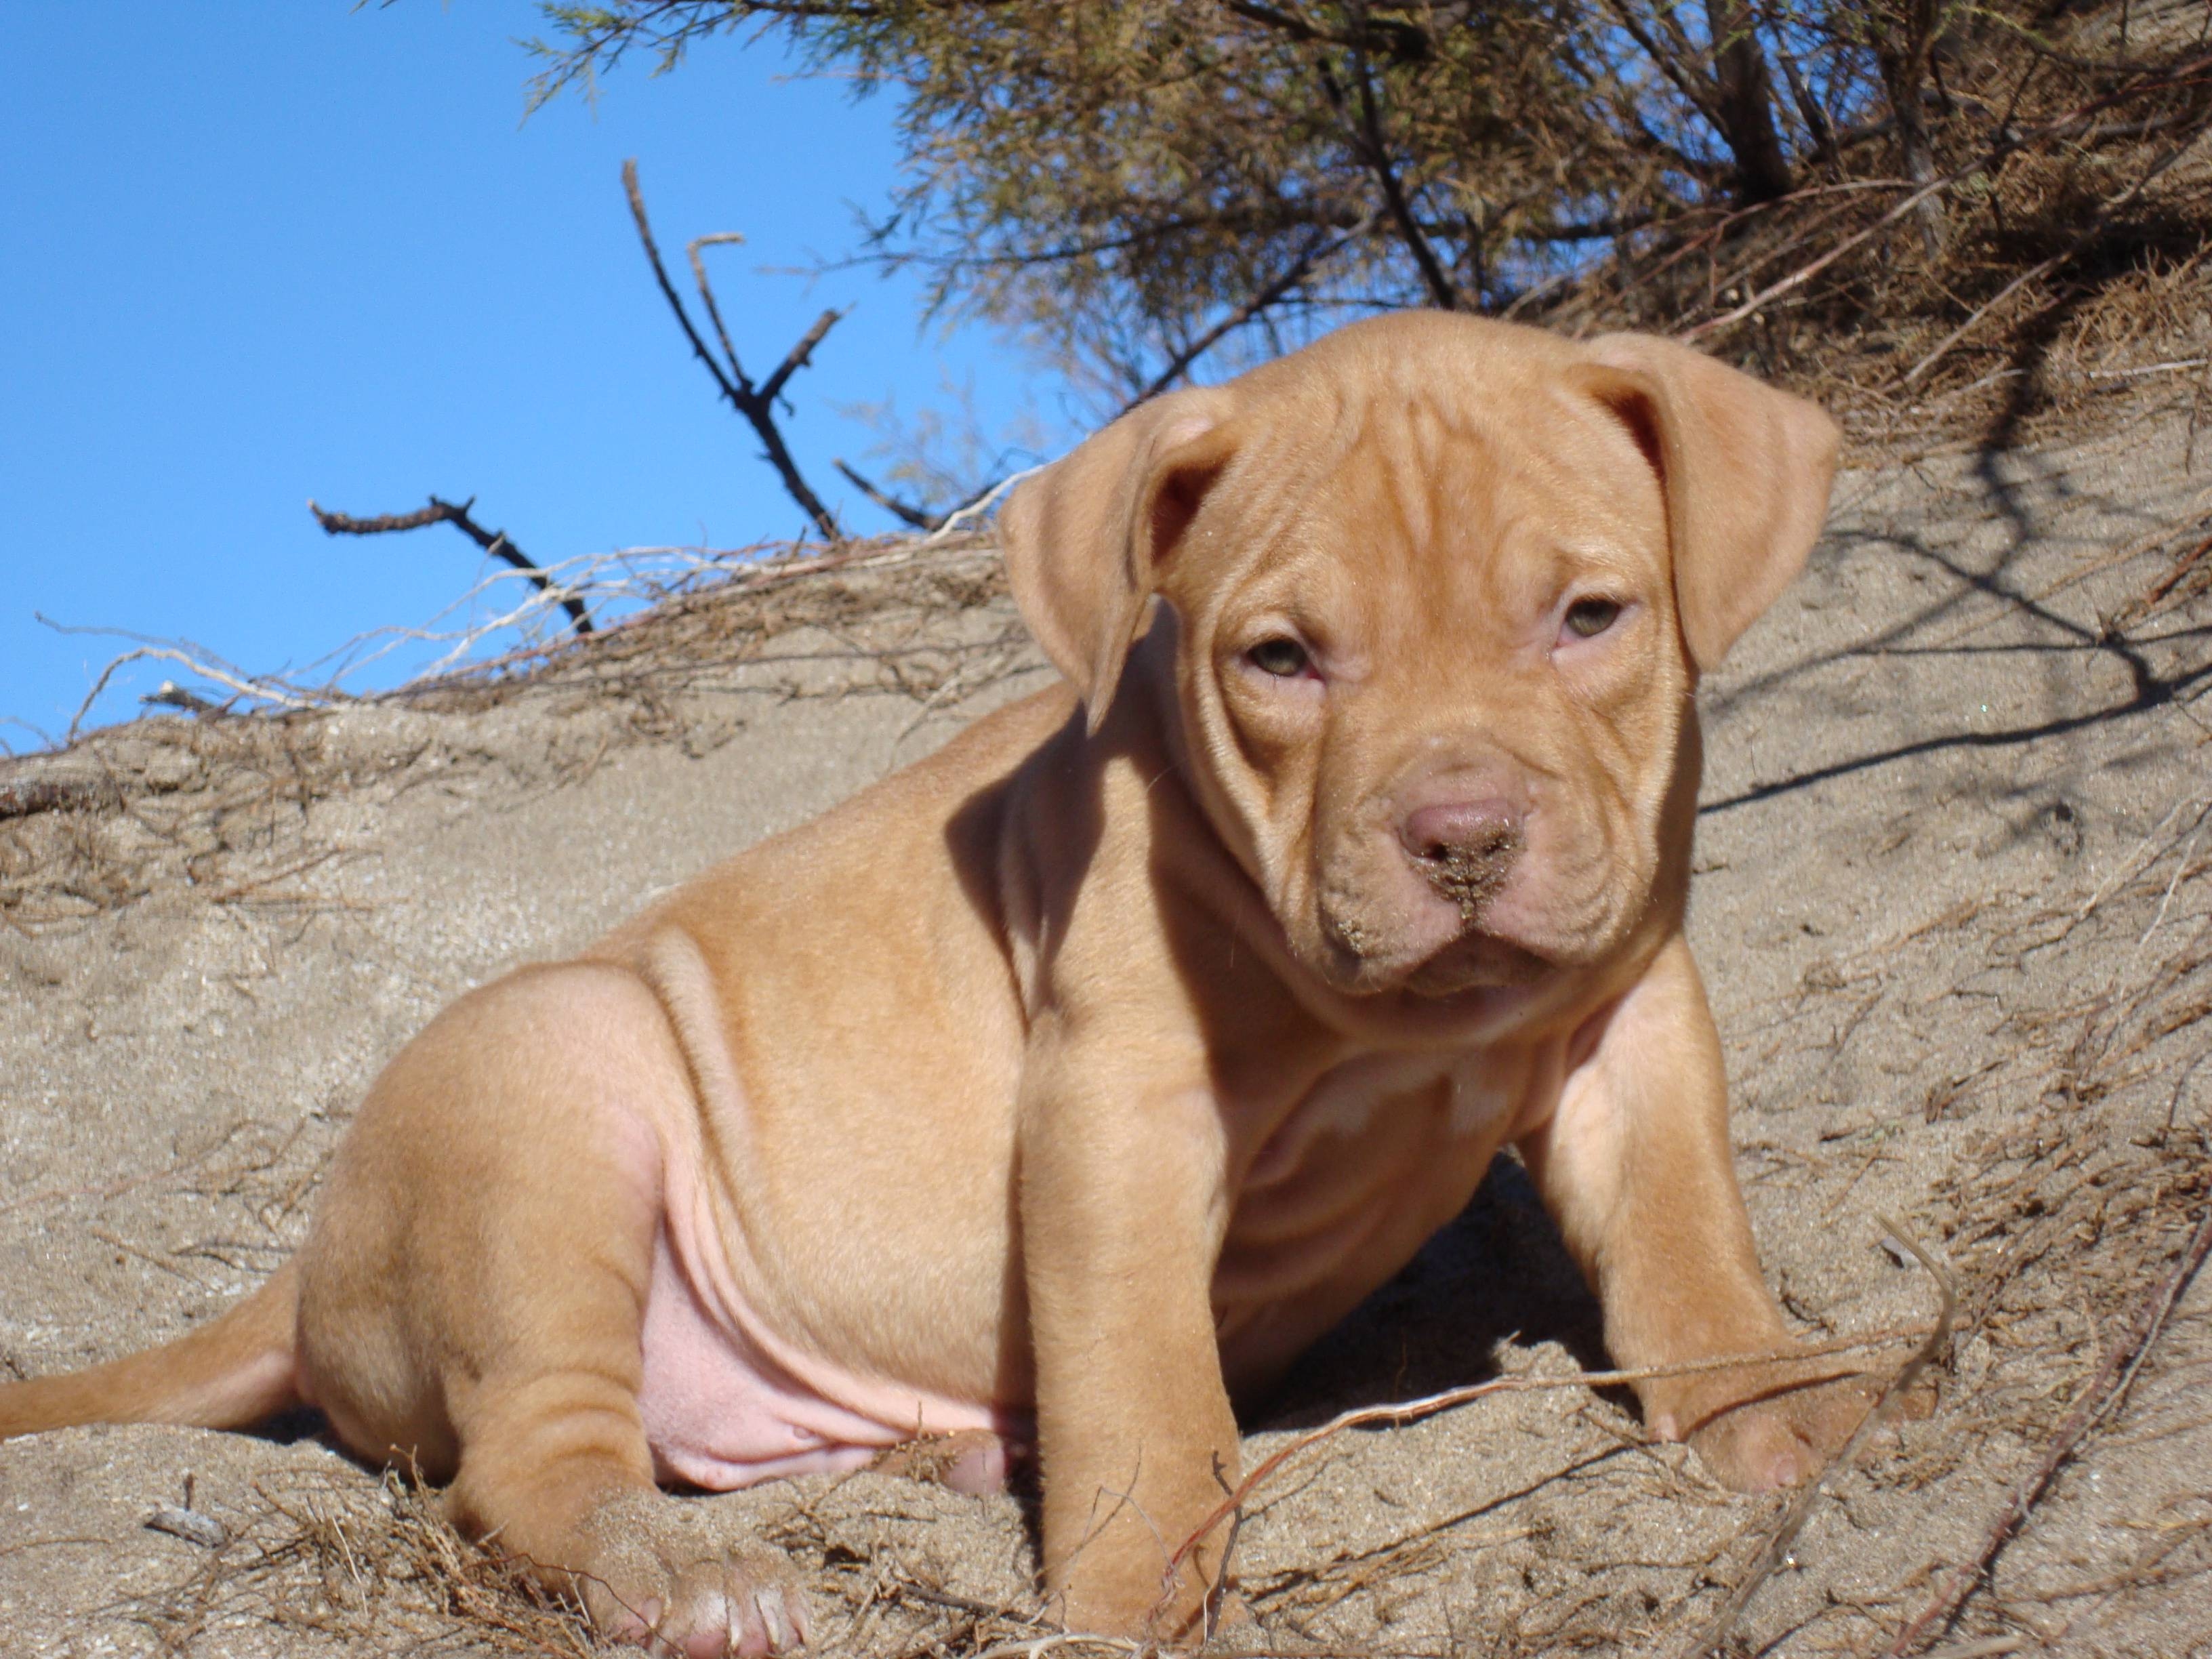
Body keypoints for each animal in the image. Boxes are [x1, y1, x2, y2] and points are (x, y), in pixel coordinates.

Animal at [0, 312, 1858, 1654]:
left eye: (1591, 617)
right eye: (1280, 659)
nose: (1461, 836)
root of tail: (308, 1268)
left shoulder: (1631, 1021)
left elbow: (1691, 1252)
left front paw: (1781, 1432)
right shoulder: (1117, 1112)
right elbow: (1145, 1393)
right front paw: (1124, 1606)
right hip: (549, 1090)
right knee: (530, 1462)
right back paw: (696, 1580)